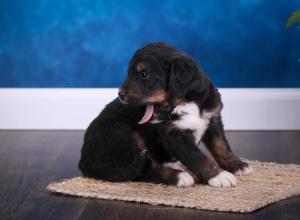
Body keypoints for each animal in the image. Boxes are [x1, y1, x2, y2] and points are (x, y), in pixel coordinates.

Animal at [78, 41, 252, 187]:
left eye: (144, 74)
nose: (120, 94)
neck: (184, 101)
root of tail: (85, 160)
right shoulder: (172, 133)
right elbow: (196, 156)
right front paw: (219, 176)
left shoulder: (212, 117)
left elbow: (221, 145)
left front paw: (237, 165)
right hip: (121, 131)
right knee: (143, 169)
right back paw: (179, 176)